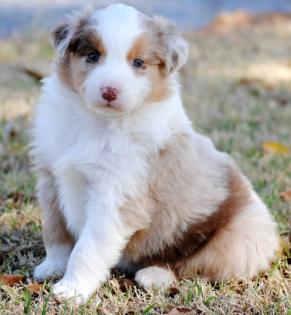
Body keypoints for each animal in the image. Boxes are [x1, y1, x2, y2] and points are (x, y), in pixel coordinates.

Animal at [30, 3, 280, 306]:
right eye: (93, 56)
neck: (98, 122)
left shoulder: (115, 197)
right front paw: (52, 267)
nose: (110, 91)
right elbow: (56, 233)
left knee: (196, 269)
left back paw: (154, 275)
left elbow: (87, 248)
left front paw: (72, 290)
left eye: (138, 63)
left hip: (238, 239)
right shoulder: (51, 179)